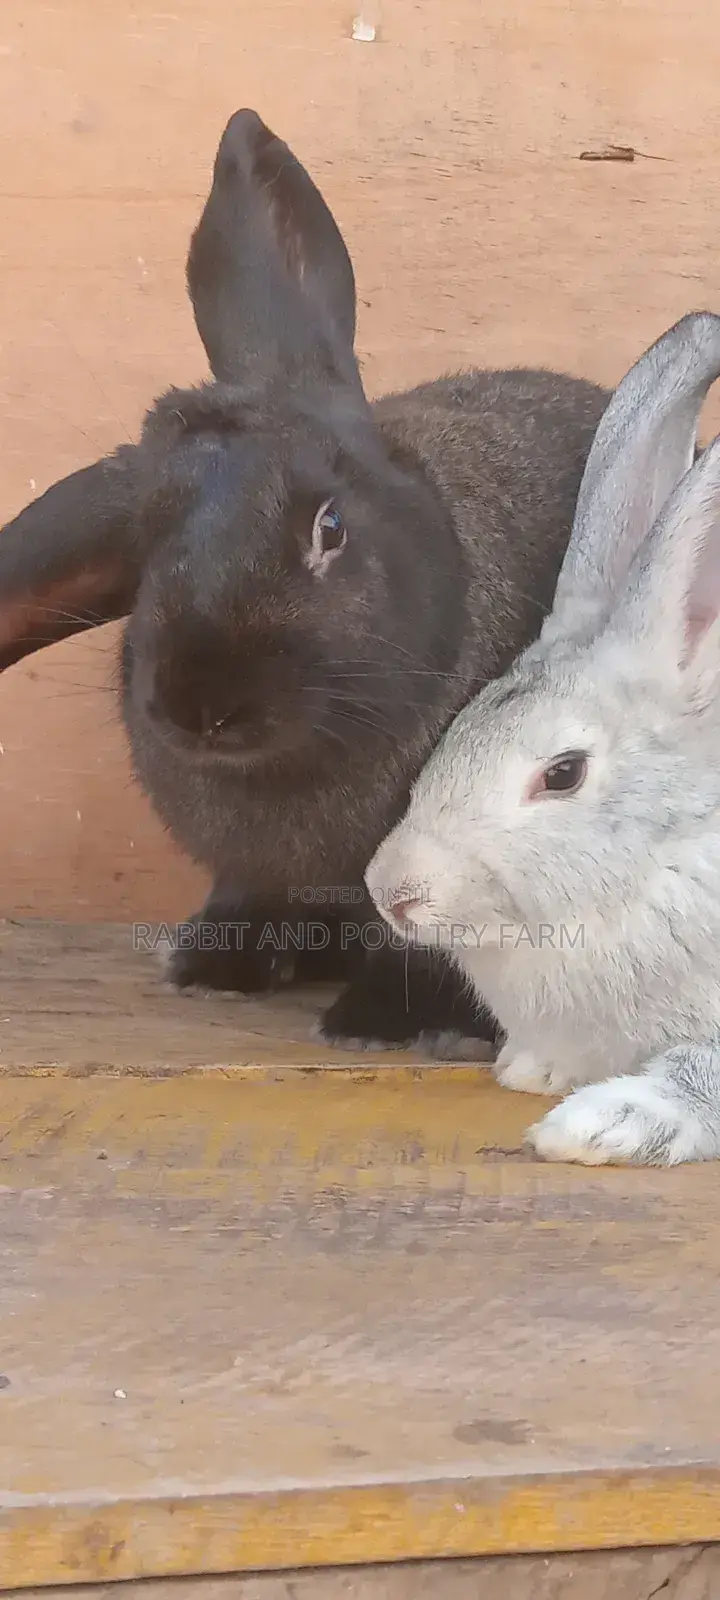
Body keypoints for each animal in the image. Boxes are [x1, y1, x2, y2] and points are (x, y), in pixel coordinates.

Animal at [0, 107, 612, 1050]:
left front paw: (384, 1024)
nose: (201, 705)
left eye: (329, 527)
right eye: (141, 542)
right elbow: (253, 899)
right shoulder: (257, 875)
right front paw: (214, 968)